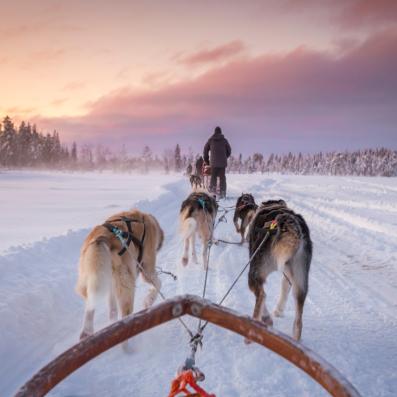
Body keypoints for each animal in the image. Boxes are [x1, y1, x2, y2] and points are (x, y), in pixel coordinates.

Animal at [75, 209, 163, 342]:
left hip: (93, 281)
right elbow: (158, 284)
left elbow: (112, 310)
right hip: (128, 286)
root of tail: (102, 238)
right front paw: (148, 301)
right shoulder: (147, 269)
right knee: (125, 316)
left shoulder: (112, 285)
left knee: (94, 308)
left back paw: (87, 332)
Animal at [246, 200, 310, 338]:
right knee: (298, 322)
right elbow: (285, 286)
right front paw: (279, 311)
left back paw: (264, 320)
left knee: (261, 295)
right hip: (300, 280)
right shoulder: (288, 275)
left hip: (255, 272)